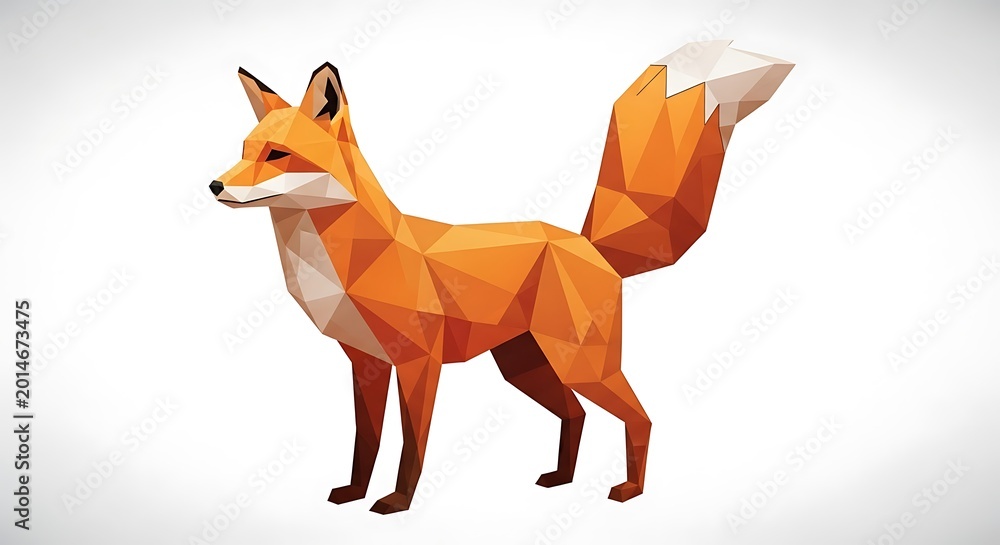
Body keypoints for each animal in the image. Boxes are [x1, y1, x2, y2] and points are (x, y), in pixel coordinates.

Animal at [211, 40, 792, 514]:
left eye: (278, 155)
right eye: (243, 150)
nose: (214, 185)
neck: (349, 258)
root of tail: (585, 242)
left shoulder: (420, 365)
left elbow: (410, 446)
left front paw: (397, 502)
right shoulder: (367, 365)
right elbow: (365, 443)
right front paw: (354, 493)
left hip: (584, 365)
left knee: (640, 418)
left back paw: (631, 491)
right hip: (526, 367)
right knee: (576, 415)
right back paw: (561, 478)